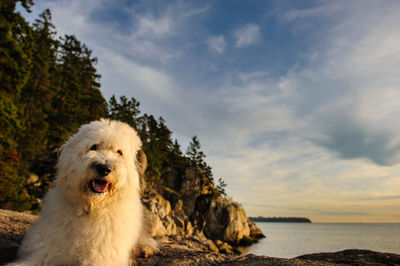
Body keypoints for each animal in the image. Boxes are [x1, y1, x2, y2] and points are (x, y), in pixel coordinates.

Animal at [10, 119, 155, 264]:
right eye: (94, 147)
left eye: (119, 152)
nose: (103, 168)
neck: (91, 208)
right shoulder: (44, 249)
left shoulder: (101, 257)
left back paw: (146, 249)